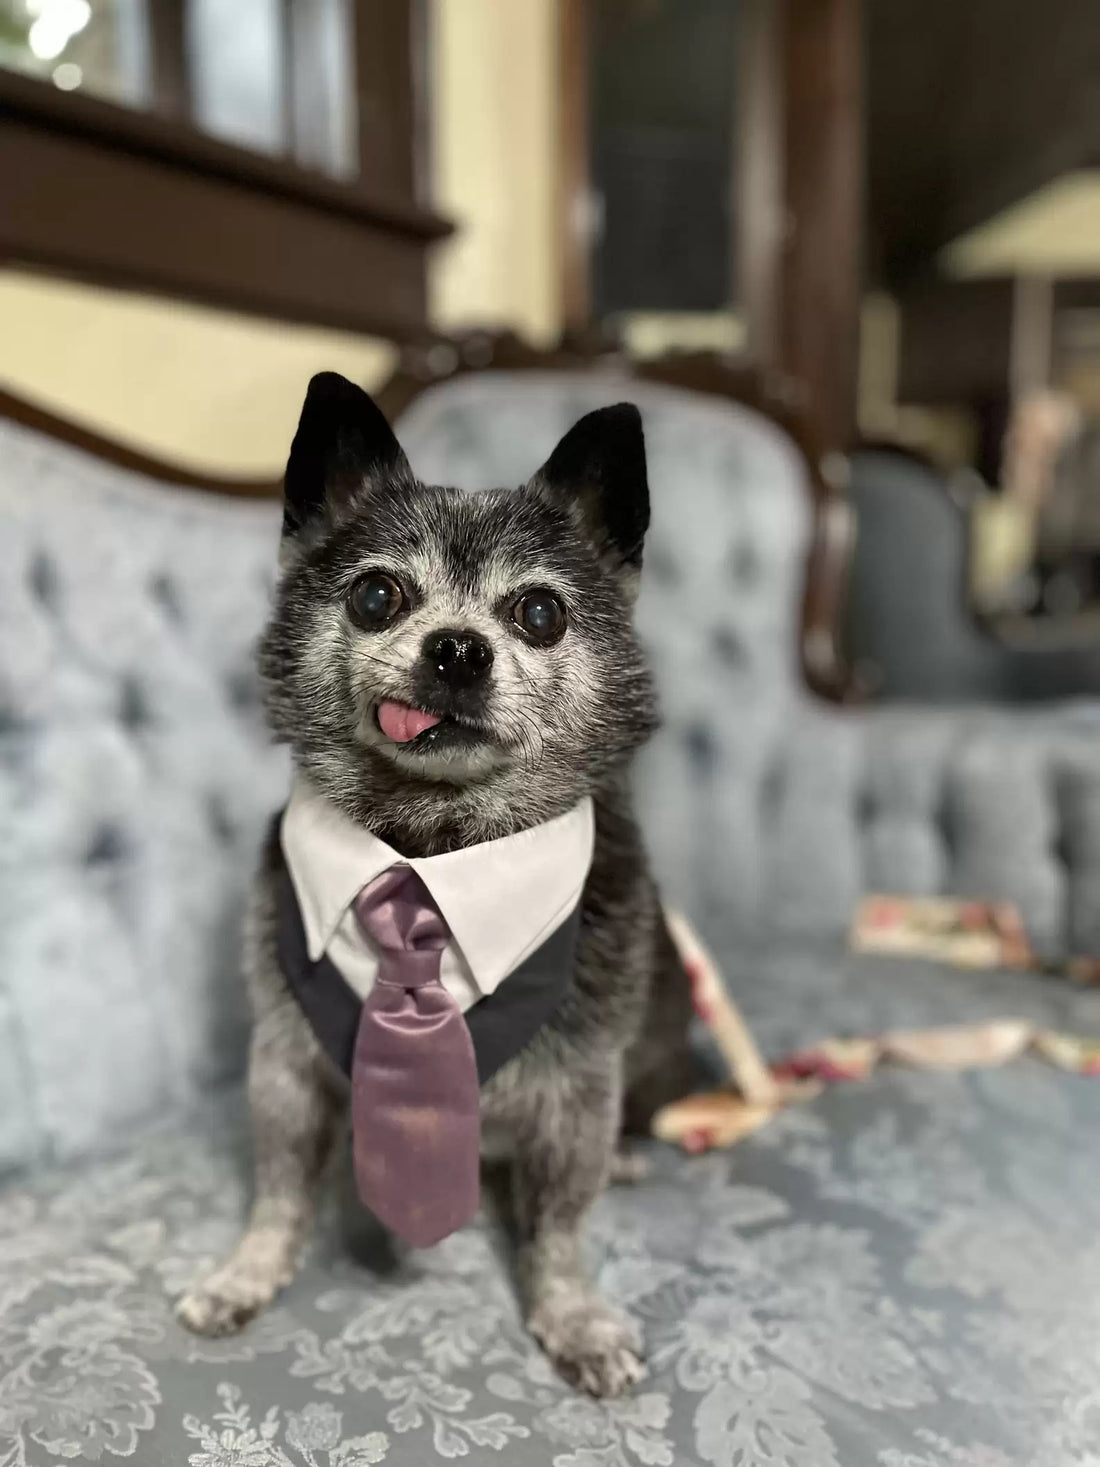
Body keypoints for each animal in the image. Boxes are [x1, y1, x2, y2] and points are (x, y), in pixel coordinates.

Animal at [181, 372, 698, 1390]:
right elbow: (277, 1188)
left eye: (539, 613)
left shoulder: (577, 1092)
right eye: (377, 594)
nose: (458, 647)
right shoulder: (283, 1062)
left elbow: (560, 1226)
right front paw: (245, 1273)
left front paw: (572, 1317)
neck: (430, 846)